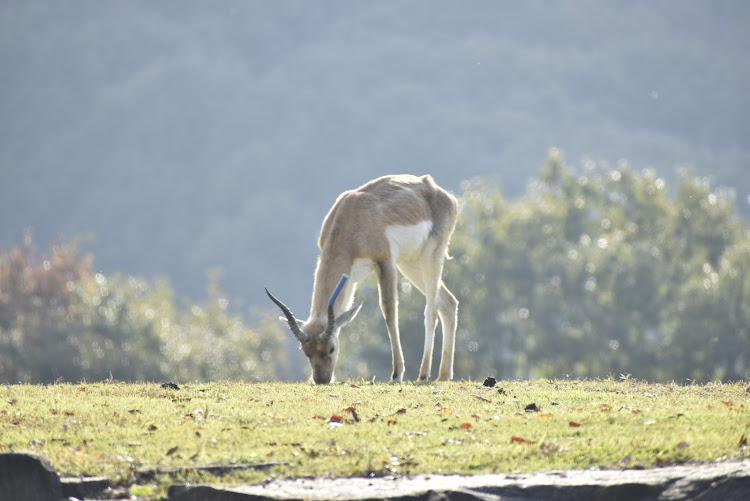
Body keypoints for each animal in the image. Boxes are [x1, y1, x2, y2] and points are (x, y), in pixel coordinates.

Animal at [268, 174, 462, 384]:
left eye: (331, 348)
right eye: (306, 351)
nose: (321, 379)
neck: (351, 216)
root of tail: (441, 193)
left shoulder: (385, 261)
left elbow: (389, 311)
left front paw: (397, 373)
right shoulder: (350, 279)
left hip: (431, 255)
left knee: (431, 310)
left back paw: (424, 374)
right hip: (410, 263)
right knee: (449, 303)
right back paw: (444, 375)